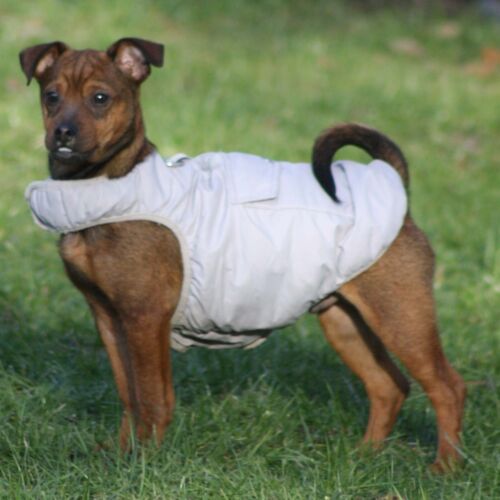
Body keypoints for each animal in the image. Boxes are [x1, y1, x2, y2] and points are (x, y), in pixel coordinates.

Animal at [19, 38, 465, 471]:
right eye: (51, 96)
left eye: (100, 98)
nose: (63, 133)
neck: (105, 186)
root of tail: (394, 183)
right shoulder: (110, 319)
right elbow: (129, 395)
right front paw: (121, 453)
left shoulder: (145, 318)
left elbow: (152, 398)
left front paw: (143, 462)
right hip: (345, 321)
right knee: (389, 385)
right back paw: (364, 457)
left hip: (401, 316)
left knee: (447, 386)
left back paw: (445, 467)